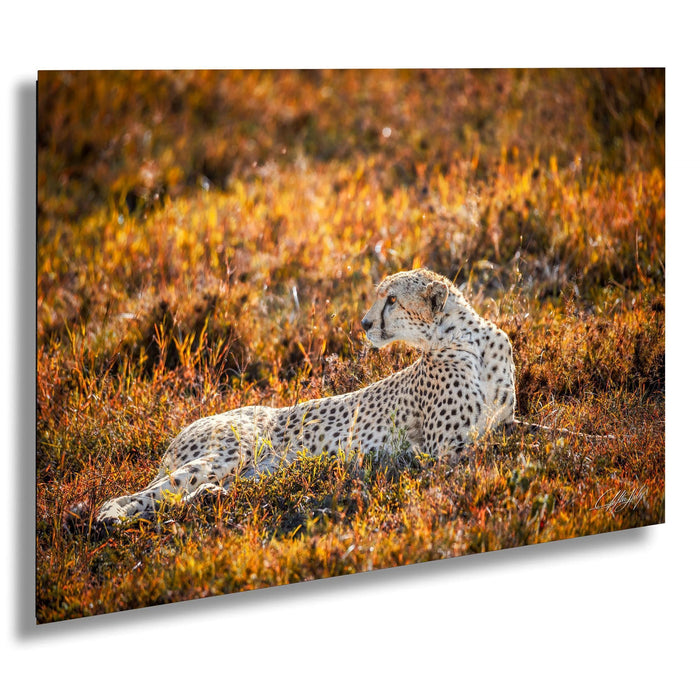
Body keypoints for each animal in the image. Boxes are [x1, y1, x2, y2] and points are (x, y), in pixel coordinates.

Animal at [90, 268, 517, 532]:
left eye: (392, 299)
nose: (364, 323)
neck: (466, 338)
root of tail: (182, 430)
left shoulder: (501, 423)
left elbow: (517, 433)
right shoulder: (442, 450)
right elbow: (491, 450)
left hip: (260, 472)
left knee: (181, 495)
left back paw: (208, 499)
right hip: (231, 451)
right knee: (141, 495)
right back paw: (110, 518)